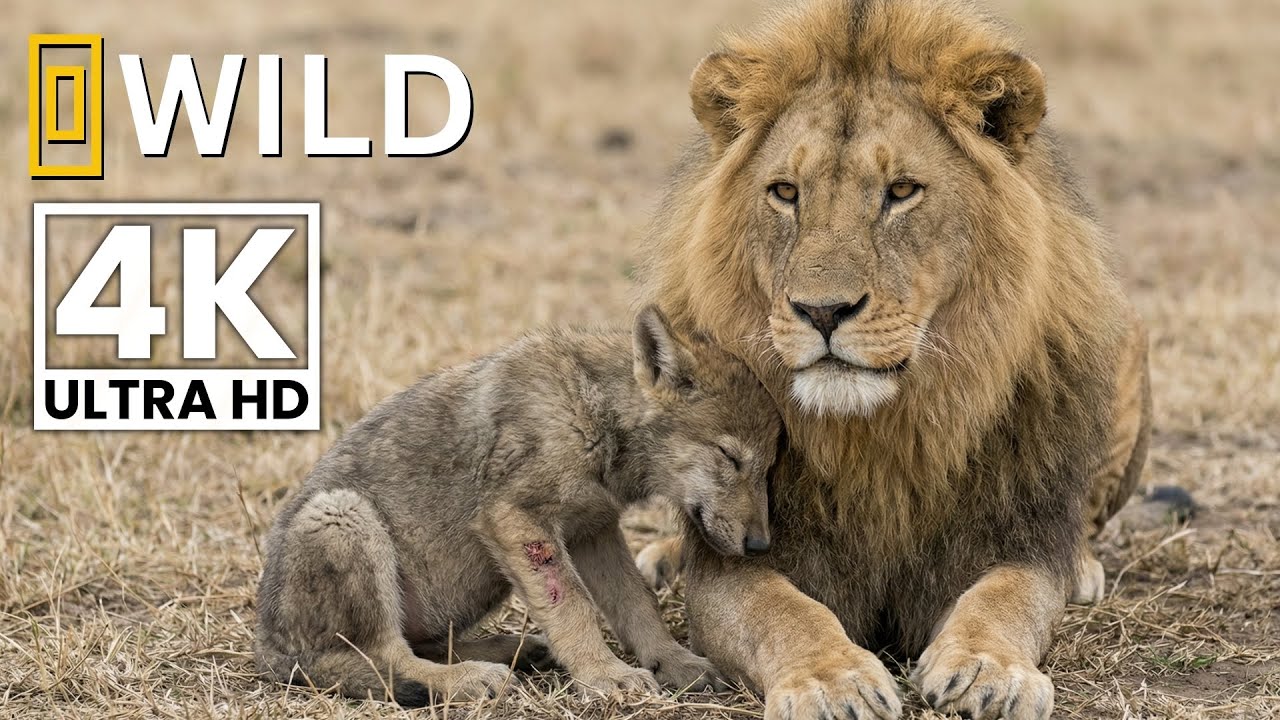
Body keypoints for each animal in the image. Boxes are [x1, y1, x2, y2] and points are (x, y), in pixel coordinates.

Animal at [630, 1, 1162, 718]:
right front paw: (832, 682)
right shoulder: (736, 566)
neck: (877, 436)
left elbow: (1005, 599)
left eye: (902, 190)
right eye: (785, 192)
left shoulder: (1010, 539)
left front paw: (987, 670)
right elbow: (783, 612)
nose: (823, 311)